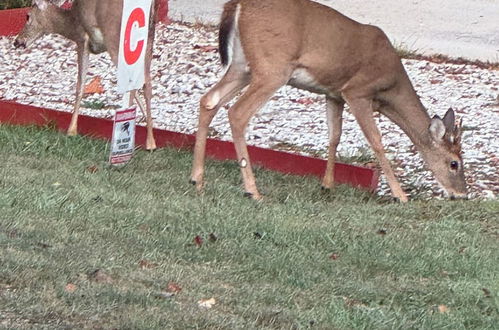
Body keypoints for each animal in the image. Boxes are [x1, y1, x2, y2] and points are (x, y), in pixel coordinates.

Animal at [13, 0, 157, 150]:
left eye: (27, 16)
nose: (17, 41)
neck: (71, 23)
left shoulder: (82, 40)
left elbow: (80, 86)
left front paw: (71, 130)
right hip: (148, 38)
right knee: (146, 84)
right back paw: (150, 142)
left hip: (116, 37)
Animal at [190, 0, 468, 201]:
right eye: (454, 163)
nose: (462, 195)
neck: (390, 87)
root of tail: (237, 6)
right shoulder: (358, 91)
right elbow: (376, 141)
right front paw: (400, 195)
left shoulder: (334, 94)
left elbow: (334, 136)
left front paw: (327, 185)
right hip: (273, 68)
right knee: (237, 112)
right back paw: (252, 191)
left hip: (242, 66)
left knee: (209, 100)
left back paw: (197, 179)